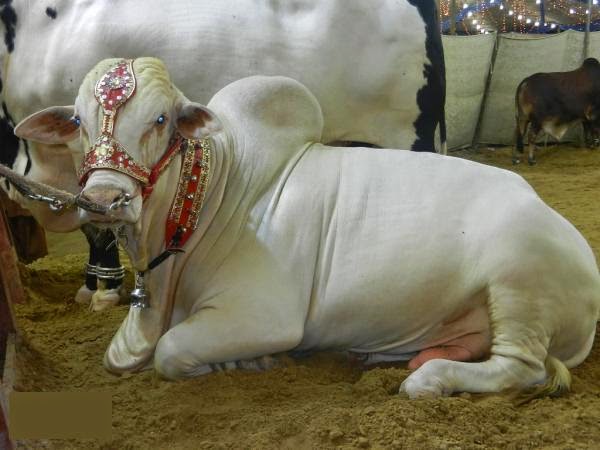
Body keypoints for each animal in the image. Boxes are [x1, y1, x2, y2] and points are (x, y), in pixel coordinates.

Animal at [15, 57, 600, 398]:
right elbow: (122, 356)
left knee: (521, 367)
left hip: (520, 281)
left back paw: (429, 377)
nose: (103, 200)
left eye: (160, 120)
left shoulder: (265, 313)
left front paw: (247, 362)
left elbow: (171, 352)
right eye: (79, 122)